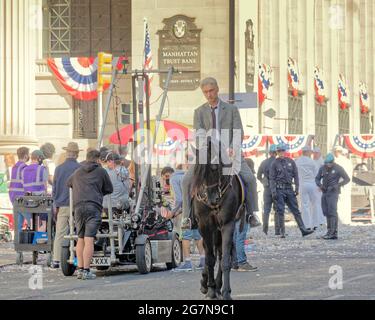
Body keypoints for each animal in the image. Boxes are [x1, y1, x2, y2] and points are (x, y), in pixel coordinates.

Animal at [191, 140, 247, 300]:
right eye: (198, 171)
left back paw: (217, 285)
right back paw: (207, 284)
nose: (213, 199)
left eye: (215, 168)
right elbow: (209, 258)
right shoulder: (204, 226)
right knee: (210, 252)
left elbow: (225, 259)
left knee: (220, 254)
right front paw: (210, 289)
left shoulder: (227, 225)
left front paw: (225, 291)